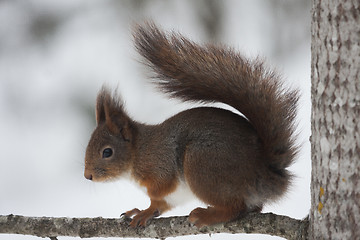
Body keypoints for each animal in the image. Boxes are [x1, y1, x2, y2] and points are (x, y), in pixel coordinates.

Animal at [83, 23, 298, 229]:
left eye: (107, 152)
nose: (88, 176)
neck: (138, 152)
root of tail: (266, 173)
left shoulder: (159, 164)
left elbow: (160, 189)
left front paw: (145, 210)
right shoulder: (167, 197)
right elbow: (159, 205)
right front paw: (142, 211)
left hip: (202, 165)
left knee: (236, 207)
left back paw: (206, 215)